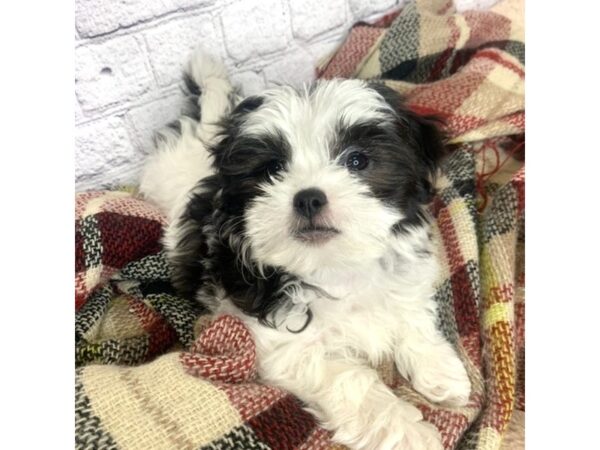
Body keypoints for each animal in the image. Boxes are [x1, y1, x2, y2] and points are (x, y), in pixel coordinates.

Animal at [142, 50, 474, 450]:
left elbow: (413, 318)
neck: (334, 264)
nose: (308, 197)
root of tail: (200, 132)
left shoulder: (405, 280)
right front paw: (405, 431)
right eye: (272, 169)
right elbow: (349, 378)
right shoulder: (285, 340)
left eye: (357, 160)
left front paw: (441, 370)